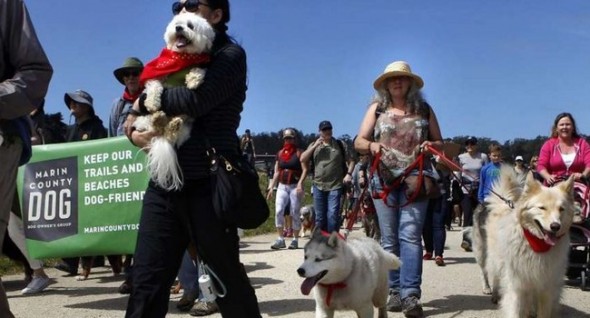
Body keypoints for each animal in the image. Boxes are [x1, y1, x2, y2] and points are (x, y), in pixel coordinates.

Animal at [134, 13, 215, 190]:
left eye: (190, 26)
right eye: (177, 24)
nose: (178, 28)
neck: (182, 58)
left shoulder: (201, 64)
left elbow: (199, 70)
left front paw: (193, 80)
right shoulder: (158, 74)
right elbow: (154, 86)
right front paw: (152, 102)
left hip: (186, 126)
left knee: (172, 134)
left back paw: (172, 125)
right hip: (143, 120)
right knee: (154, 124)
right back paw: (158, 118)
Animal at [476, 166, 580, 318]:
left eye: (561, 209)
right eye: (542, 208)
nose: (555, 226)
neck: (536, 245)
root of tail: (503, 205)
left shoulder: (546, 287)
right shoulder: (517, 285)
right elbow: (515, 310)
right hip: (492, 259)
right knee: (493, 275)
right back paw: (494, 293)